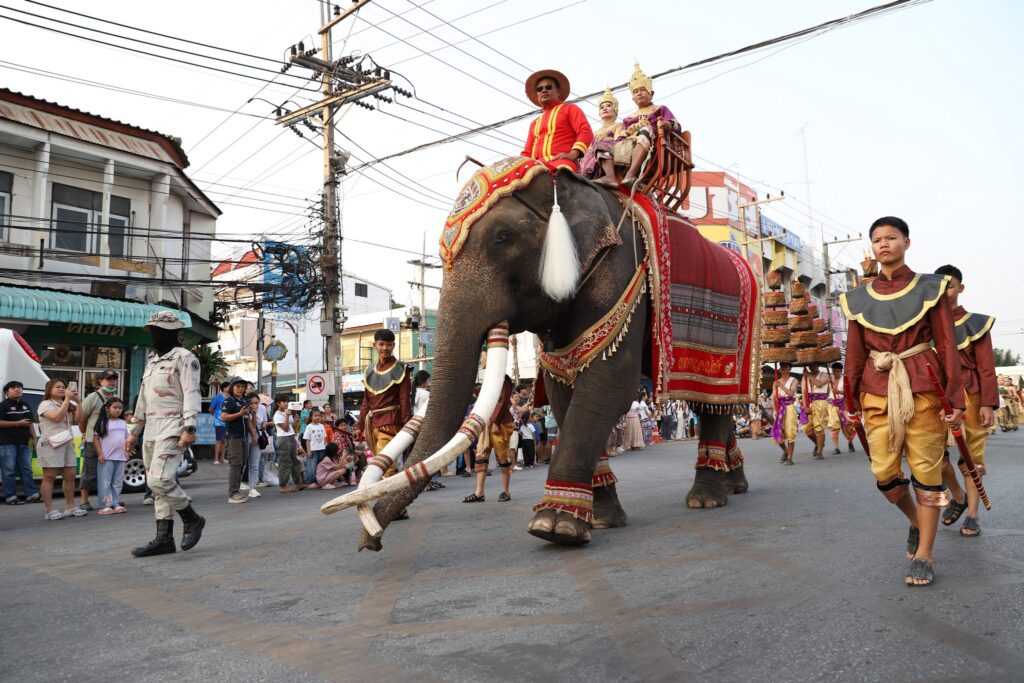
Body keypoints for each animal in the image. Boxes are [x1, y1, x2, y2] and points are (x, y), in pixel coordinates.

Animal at [334, 159, 754, 550]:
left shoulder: (621, 273)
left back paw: (706, 499)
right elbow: (562, 389)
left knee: (714, 403)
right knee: (713, 407)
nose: (370, 542)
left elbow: (610, 384)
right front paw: (598, 520)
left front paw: (554, 527)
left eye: (504, 237)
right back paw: (733, 485)